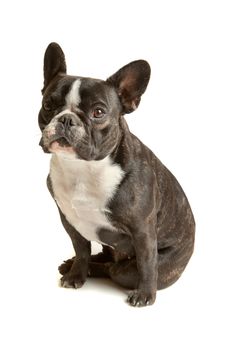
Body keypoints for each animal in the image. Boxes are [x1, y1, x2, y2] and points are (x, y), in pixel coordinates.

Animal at [38, 43, 195, 306]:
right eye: (48, 105)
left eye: (98, 112)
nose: (67, 119)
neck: (83, 167)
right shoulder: (70, 221)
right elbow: (81, 250)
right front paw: (76, 274)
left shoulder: (142, 230)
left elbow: (147, 262)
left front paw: (145, 294)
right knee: (103, 258)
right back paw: (74, 265)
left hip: (135, 268)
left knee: (117, 270)